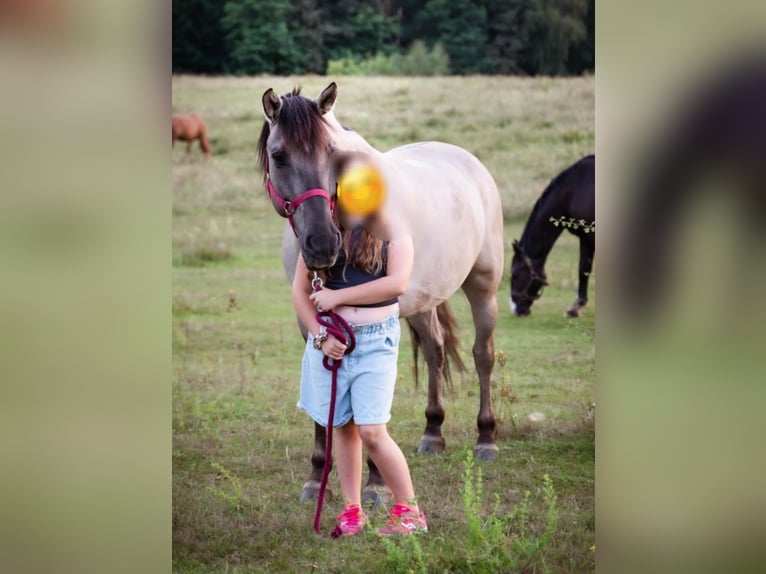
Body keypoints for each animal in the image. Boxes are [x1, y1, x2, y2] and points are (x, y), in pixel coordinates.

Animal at [260, 83, 510, 506]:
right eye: (279, 156)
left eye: (333, 155)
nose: (323, 244)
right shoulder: (311, 323)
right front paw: (316, 476)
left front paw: (376, 482)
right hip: (424, 302)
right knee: (435, 350)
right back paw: (432, 433)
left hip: (483, 287)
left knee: (483, 355)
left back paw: (486, 438)